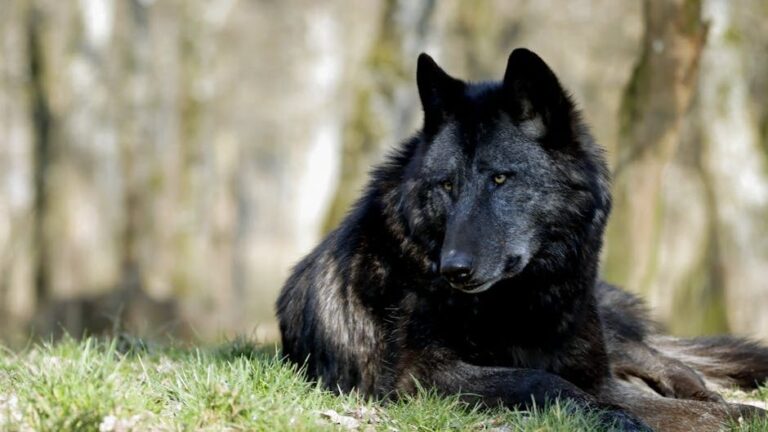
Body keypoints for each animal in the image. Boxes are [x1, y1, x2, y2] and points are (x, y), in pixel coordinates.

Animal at [276, 48, 768, 431]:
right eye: (447, 185)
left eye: (500, 178)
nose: (453, 268)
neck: (518, 302)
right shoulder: (417, 376)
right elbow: (541, 381)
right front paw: (613, 418)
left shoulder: (598, 376)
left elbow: (673, 407)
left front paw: (737, 414)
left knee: (672, 363)